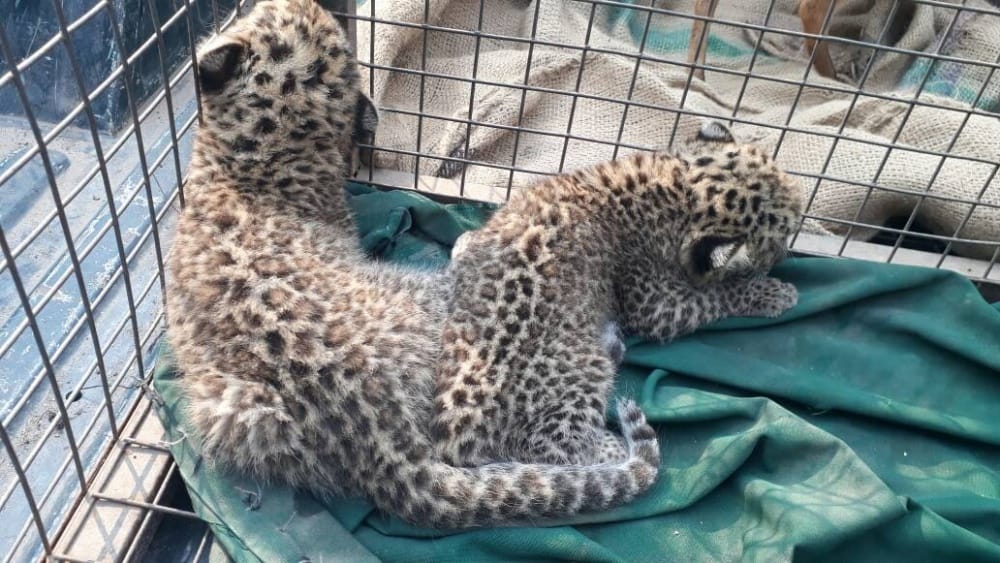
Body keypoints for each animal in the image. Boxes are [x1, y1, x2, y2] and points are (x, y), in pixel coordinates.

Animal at [433, 120, 803, 468]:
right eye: (782, 234)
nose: (784, 254)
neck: (679, 185)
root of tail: (456, 431)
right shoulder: (655, 305)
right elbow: (716, 295)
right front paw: (774, 293)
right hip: (580, 379)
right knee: (561, 456)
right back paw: (620, 444)